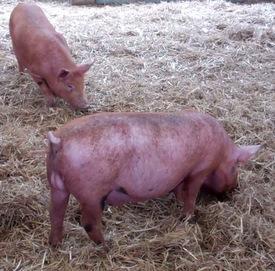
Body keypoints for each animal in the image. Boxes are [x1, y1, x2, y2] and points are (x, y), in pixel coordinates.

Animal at [46, 111, 262, 248]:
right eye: (235, 167)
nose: (234, 190)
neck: (222, 153)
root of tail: (59, 141)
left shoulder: (181, 175)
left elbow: (180, 190)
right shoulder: (199, 169)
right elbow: (191, 194)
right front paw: (189, 217)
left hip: (56, 186)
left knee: (55, 215)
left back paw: (56, 245)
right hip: (92, 192)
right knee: (88, 223)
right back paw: (107, 246)